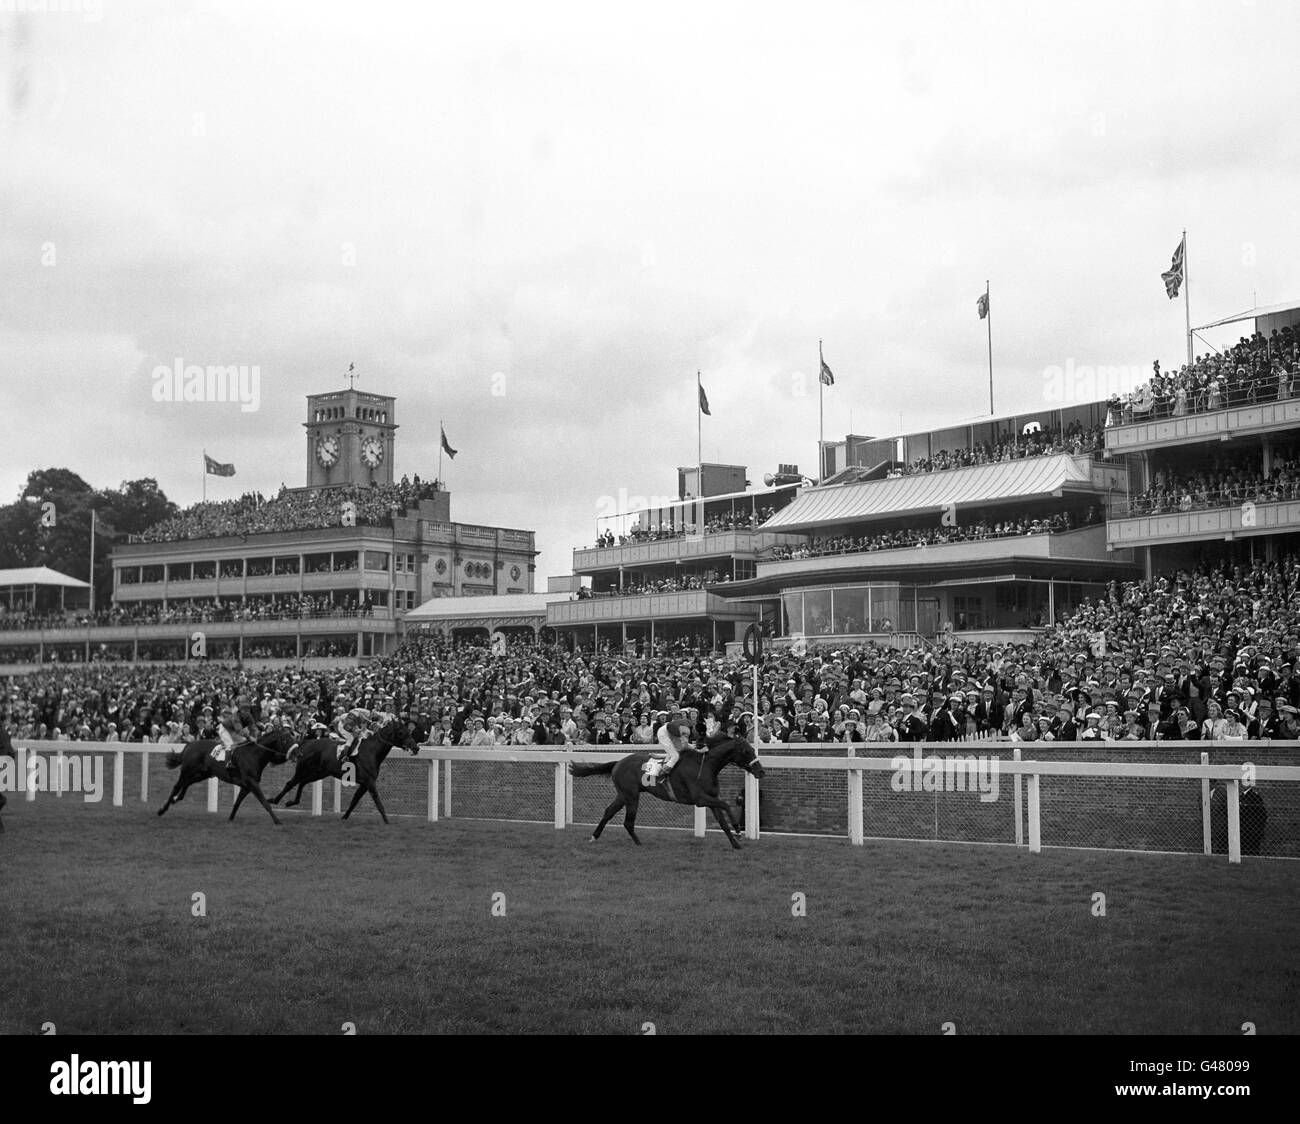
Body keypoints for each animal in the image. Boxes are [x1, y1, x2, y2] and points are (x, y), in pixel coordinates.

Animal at [156, 727, 297, 826]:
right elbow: (264, 802)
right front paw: (277, 820)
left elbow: (237, 803)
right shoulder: (252, 783)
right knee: (177, 786)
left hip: (203, 774)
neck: (254, 755)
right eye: (285, 740)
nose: (297, 753)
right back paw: (162, 810)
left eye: (293, 739)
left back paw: (177, 799)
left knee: (187, 783)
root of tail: (190, 745)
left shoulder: (246, 786)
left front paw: (230, 818)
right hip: (187, 770)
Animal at [266, 717, 418, 826]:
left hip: (319, 773)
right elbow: (377, 801)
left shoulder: (364, 783)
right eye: (401, 733)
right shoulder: (369, 782)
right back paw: (274, 800)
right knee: (290, 783)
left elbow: (354, 800)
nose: (416, 748)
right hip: (303, 769)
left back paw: (291, 802)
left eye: (409, 732)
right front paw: (387, 821)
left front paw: (344, 817)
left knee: (302, 782)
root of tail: (305, 742)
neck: (372, 751)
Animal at [566, 732, 759, 847]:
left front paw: (735, 843)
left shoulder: (710, 798)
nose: (761, 771)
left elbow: (722, 821)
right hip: (631, 795)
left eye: (752, 750)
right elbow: (725, 805)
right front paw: (738, 829)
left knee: (608, 812)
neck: (705, 766)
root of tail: (618, 762)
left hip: (623, 795)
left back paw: (594, 837)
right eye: (746, 751)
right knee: (627, 822)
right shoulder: (699, 798)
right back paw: (639, 843)